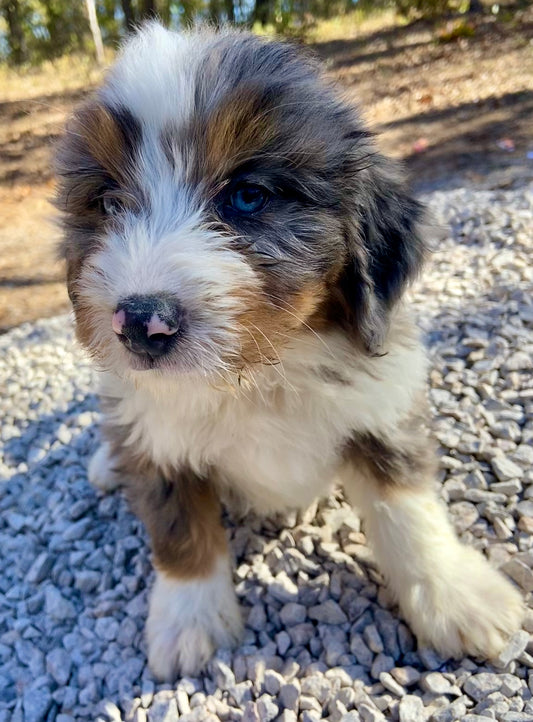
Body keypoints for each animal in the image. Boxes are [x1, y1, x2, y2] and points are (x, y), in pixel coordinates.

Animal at [56, 21, 520, 676]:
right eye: (110, 204)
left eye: (249, 195)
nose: (141, 323)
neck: (257, 374)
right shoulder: (156, 432)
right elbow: (178, 526)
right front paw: (189, 621)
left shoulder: (381, 401)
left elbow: (407, 507)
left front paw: (455, 597)